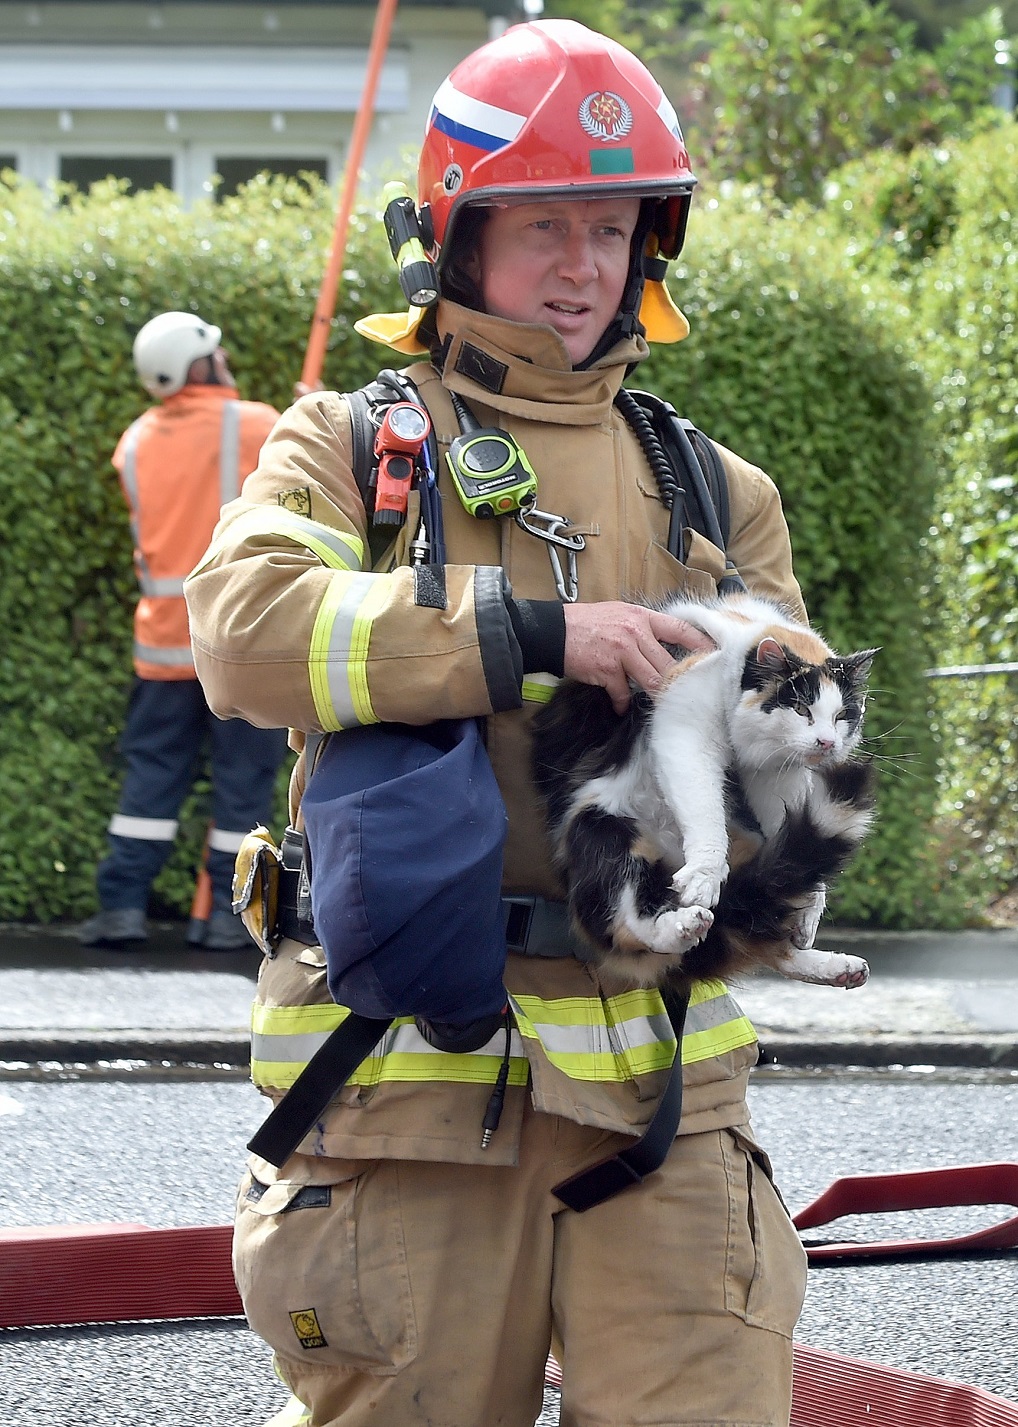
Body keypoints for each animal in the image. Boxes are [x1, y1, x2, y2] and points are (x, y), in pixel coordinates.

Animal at [528, 590, 879, 993]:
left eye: (842, 716)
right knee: (629, 923)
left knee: (758, 916)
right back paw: (683, 924)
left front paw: (812, 904)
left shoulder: (776, 772)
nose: (827, 743)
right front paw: (705, 876)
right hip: (602, 826)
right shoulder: (684, 730)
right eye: (802, 708)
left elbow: (785, 816)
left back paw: (837, 967)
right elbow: (704, 810)